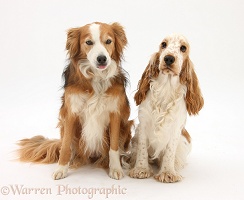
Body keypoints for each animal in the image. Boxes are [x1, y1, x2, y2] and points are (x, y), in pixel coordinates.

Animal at [17, 21, 132, 180]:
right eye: (88, 42)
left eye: (108, 41)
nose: (102, 58)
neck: (96, 78)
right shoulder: (70, 114)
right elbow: (65, 146)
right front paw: (61, 168)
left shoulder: (115, 114)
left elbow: (114, 147)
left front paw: (115, 168)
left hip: (126, 126)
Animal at [130, 34, 204, 183]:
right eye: (163, 44)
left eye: (183, 48)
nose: (169, 58)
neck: (166, 88)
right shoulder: (143, 124)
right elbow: (142, 149)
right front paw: (141, 169)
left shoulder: (175, 128)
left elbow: (170, 152)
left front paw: (167, 172)